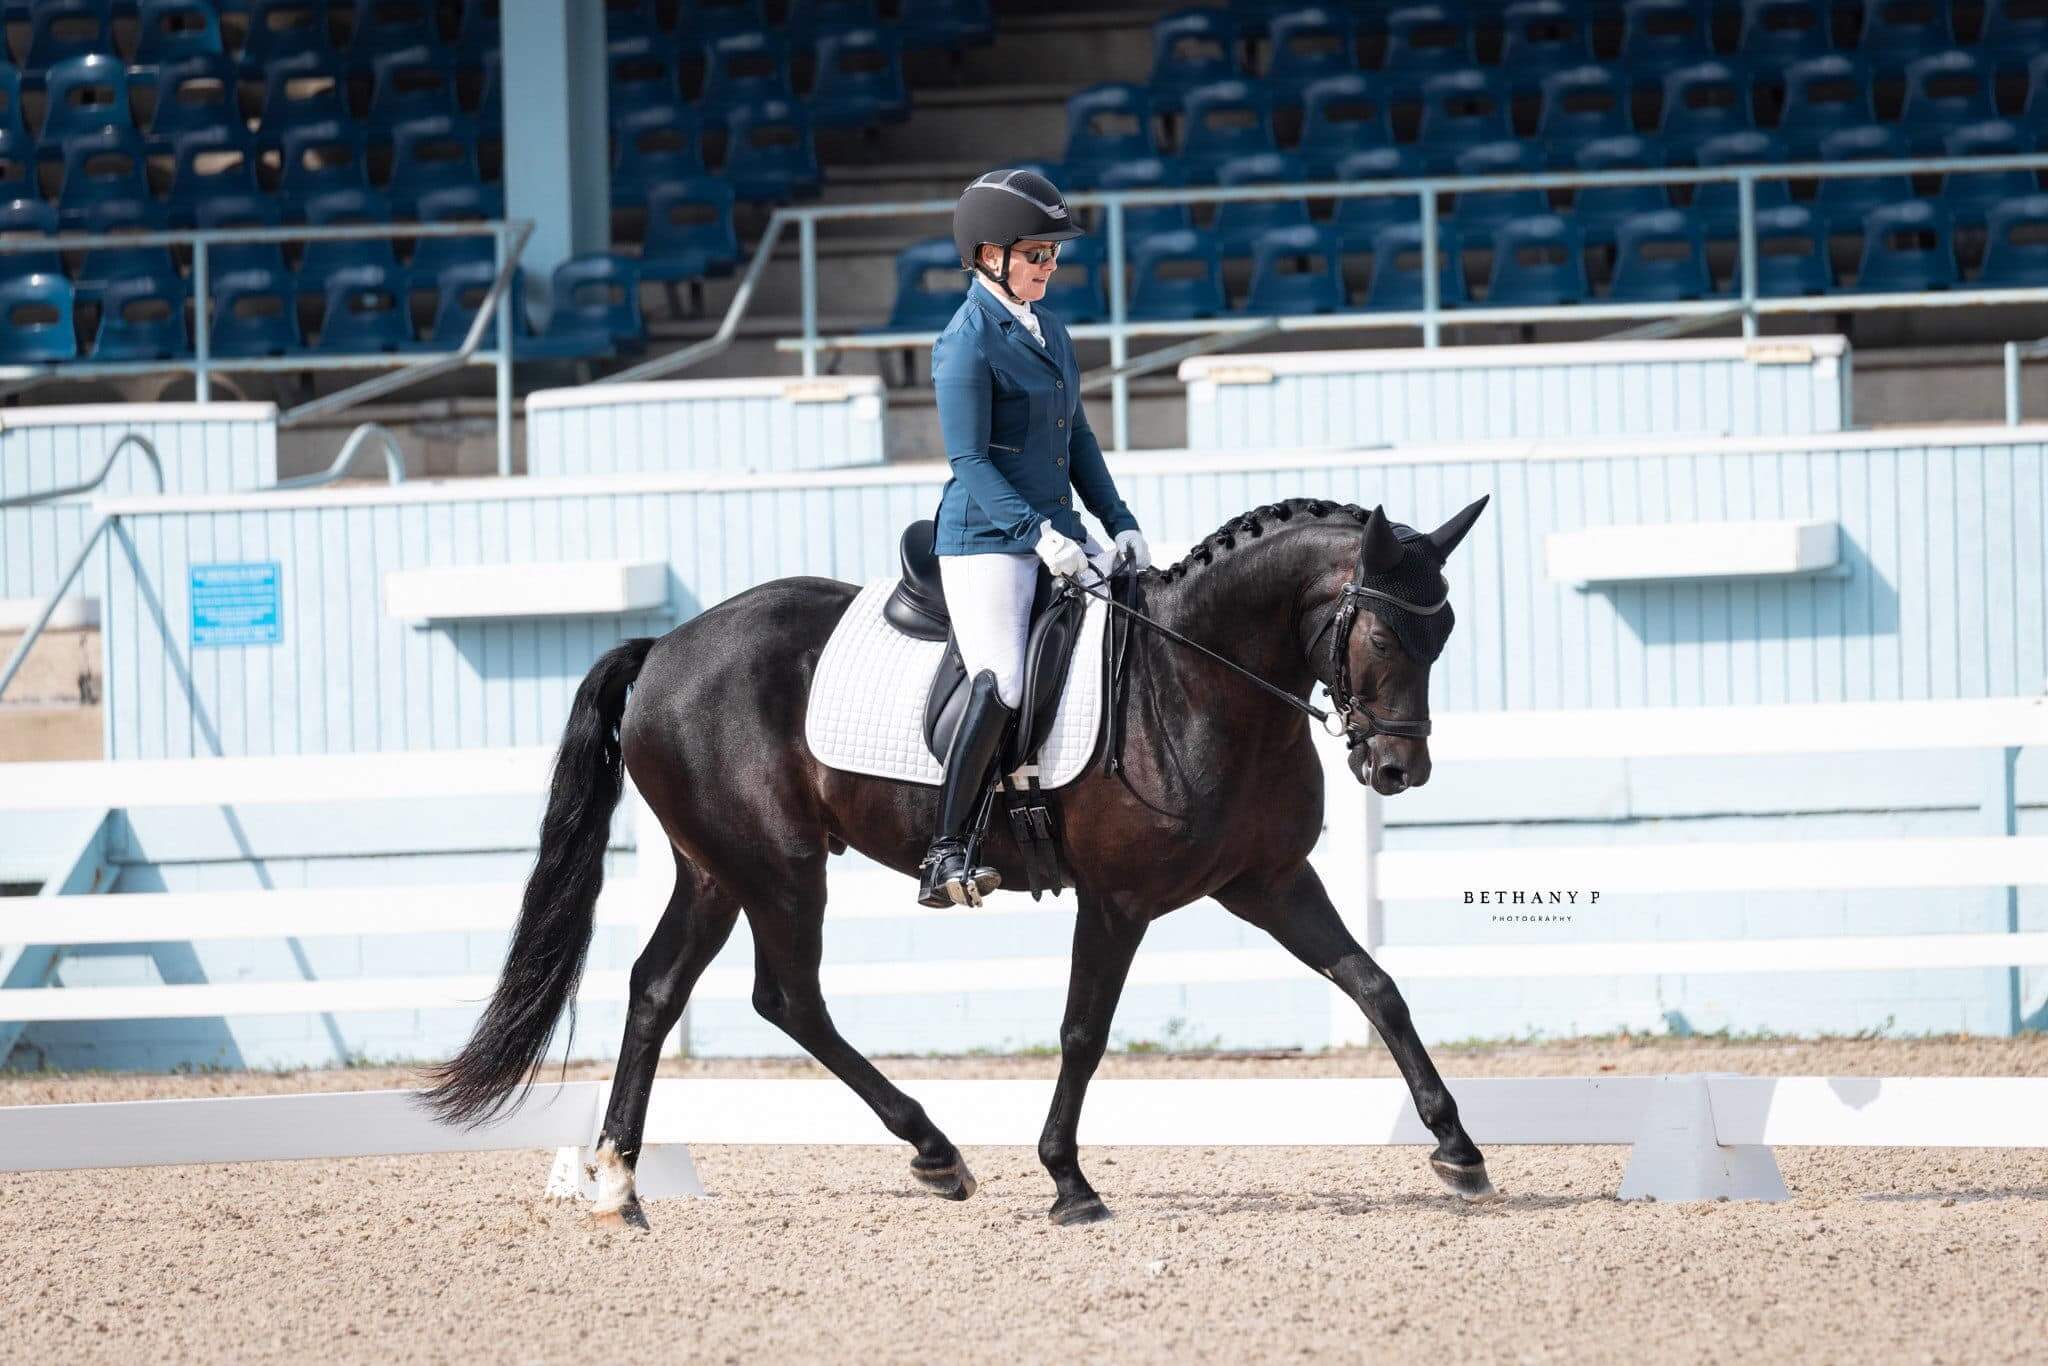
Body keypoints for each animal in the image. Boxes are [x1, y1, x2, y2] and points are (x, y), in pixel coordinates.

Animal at [420, 495, 1495, 1230]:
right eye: (1385, 630)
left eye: (1445, 631)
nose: (1398, 770)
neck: (1199, 676)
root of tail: (665, 648)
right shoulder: (1117, 902)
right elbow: (1082, 1033)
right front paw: (1068, 1180)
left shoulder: (1268, 883)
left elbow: (1376, 986)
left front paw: (1458, 1148)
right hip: (778, 867)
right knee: (787, 997)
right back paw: (934, 1151)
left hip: (716, 870)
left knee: (657, 989)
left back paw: (620, 1183)